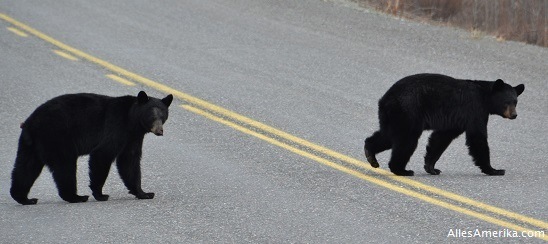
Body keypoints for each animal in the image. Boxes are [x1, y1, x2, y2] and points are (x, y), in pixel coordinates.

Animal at [11, 91, 173, 204]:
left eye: (163, 116)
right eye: (151, 116)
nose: (160, 131)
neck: (131, 120)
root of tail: (30, 123)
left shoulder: (133, 137)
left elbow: (129, 161)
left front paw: (144, 193)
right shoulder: (116, 127)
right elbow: (103, 154)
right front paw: (100, 194)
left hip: (31, 145)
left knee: (26, 167)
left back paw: (24, 198)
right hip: (57, 138)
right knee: (65, 166)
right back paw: (76, 197)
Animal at [364, 73, 524, 176]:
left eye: (516, 102)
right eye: (507, 102)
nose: (514, 115)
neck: (485, 97)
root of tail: (386, 98)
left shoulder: (455, 120)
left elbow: (441, 138)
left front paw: (431, 168)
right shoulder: (474, 110)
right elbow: (477, 137)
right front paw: (494, 170)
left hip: (392, 116)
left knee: (387, 136)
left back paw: (371, 155)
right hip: (408, 112)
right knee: (406, 140)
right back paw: (402, 170)